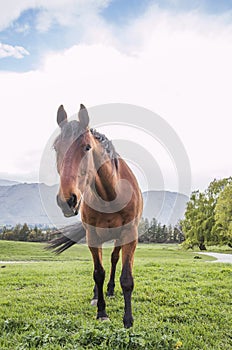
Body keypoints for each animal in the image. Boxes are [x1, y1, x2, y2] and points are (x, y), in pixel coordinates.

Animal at [49, 104, 142, 328]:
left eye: (87, 147)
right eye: (56, 147)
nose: (67, 200)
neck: (111, 194)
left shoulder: (130, 235)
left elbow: (127, 277)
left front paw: (128, 319)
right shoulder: (92, 236)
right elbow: (98, 273)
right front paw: (101, 312)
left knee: (115, 259)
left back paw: (110, 289)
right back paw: (96, 295)